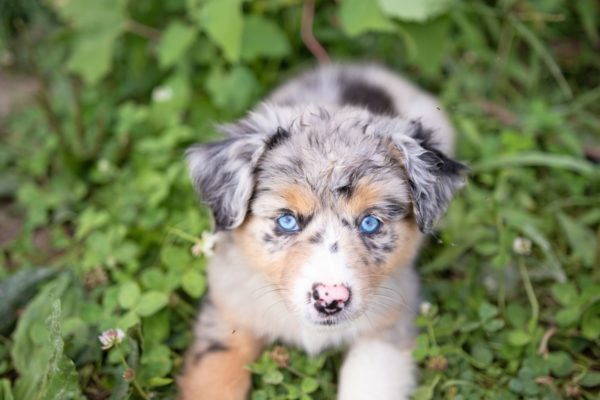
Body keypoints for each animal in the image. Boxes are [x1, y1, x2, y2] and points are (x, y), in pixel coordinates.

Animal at [178, 64, 468, 398]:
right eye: (287, 221)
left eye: (370, 223)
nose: (330, 298)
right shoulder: (228, 310)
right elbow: (215, 375)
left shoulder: (389, 323)